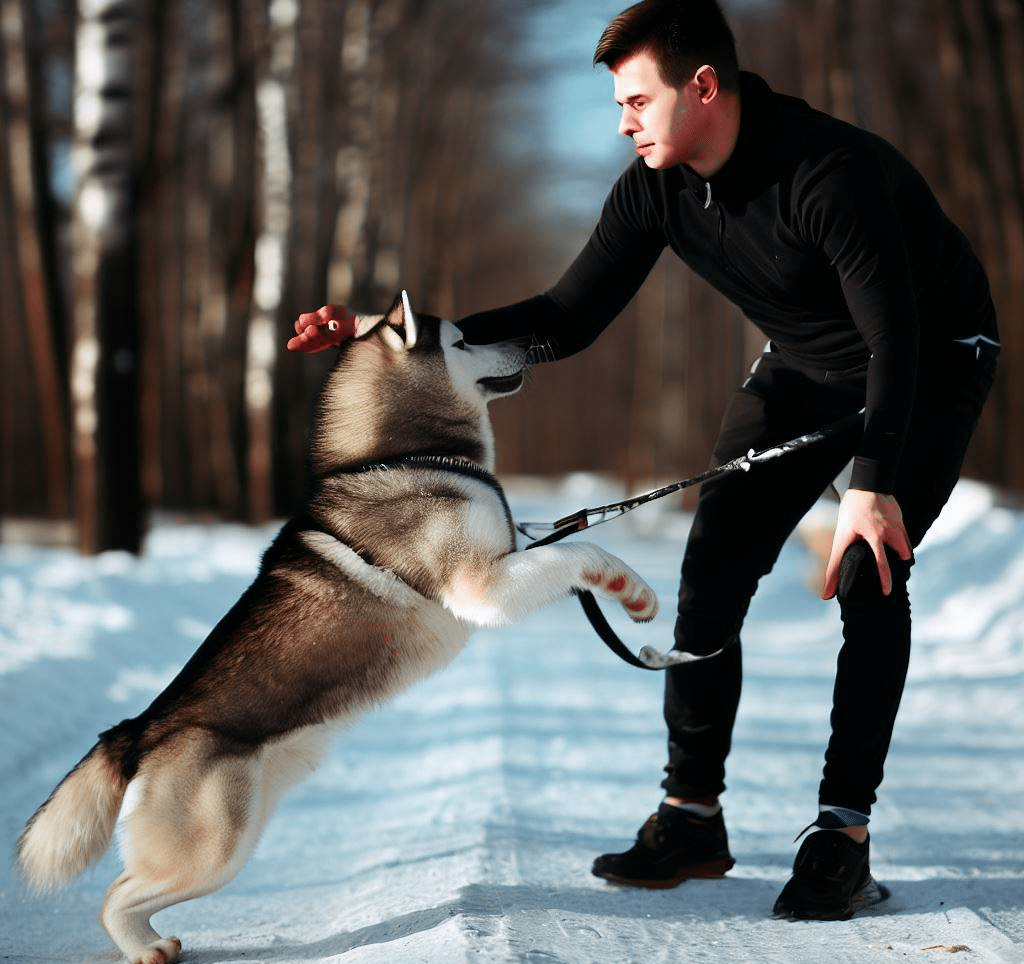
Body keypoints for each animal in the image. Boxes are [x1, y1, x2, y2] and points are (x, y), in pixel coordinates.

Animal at [19, 292, 659, 962]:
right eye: (462, 341)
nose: (529, 341)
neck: (403, 455)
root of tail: (139, 728)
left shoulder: (502, 565)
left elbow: (565, 555)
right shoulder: (481, 584)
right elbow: (578, 551)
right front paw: (632, 589)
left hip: (238, 828)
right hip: (213, 846)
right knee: (114, 896)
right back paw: (145, 948)